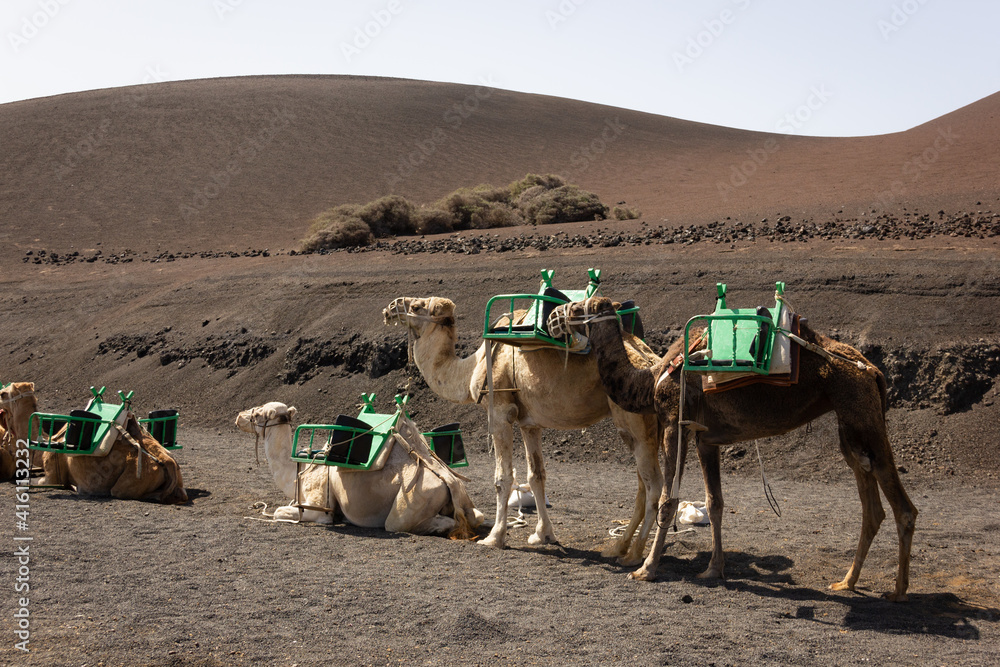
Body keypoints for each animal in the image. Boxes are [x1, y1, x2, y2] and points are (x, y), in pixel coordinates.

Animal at [235, 401, 484, 537]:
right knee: (477, 517)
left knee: (405, 524)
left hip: (411, 503)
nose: (239, 417)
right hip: (463, 498)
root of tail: (450, 482)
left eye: (258, 414)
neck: (300, 469)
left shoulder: (318, 508)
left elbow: (279, 512)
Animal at [383, 296, 663, 563]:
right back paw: (618, 546)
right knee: (643, 485)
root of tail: (652, 361)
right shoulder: (530, 423)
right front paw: (543, 534)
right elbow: (536, 475)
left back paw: (635, 555)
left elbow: (503, 478)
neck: (474, 365)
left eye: (417, 306)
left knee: (654, 486)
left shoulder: (500, 412)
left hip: (635, 423)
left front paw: (494, 537)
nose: (390, 308)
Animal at [548, 296, 918, 601]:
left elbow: (669, 500)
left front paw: (646, 569)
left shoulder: (674, 424)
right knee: (871, 505)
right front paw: (713, 569)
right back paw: (847, 582)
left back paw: (898, 591)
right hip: (850, 427)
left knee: (903, 508)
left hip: (862, 414)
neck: (651, 378)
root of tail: (872, 369)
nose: (556, 314)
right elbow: (715, 503)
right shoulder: (706, 438)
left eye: (583, 307)